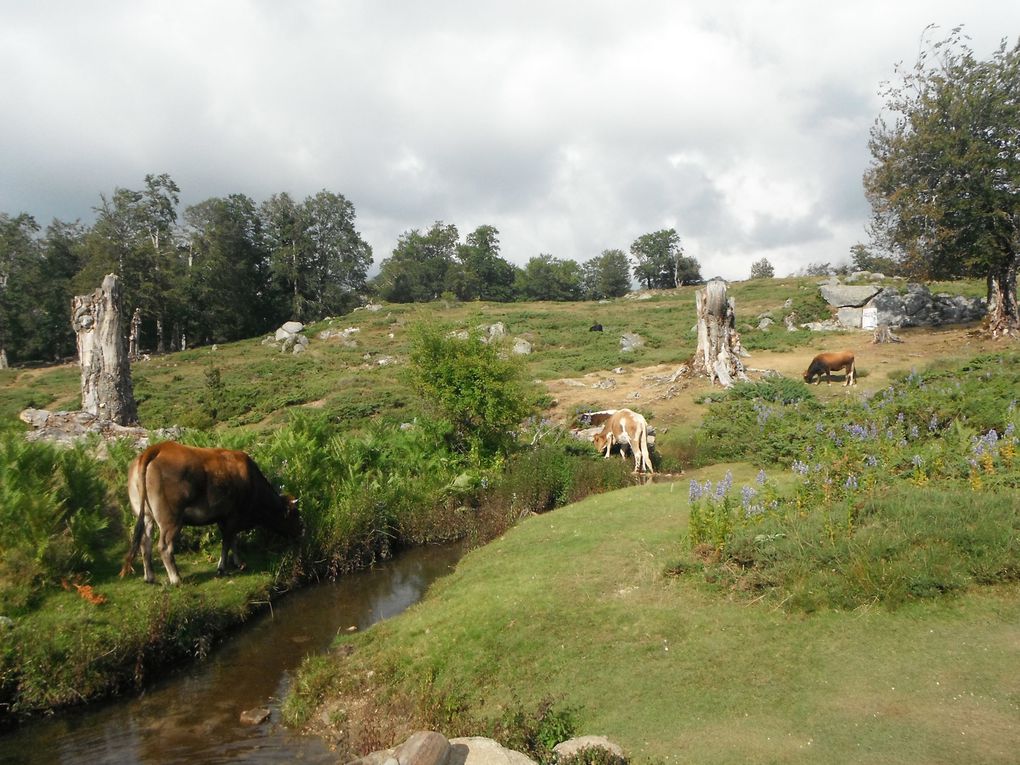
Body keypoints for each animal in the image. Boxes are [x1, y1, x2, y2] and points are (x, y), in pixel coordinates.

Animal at [119, 442, 299, 587]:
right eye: (295, 515)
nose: (301, 530)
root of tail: (158, 447)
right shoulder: (233, 515)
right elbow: (227, 541)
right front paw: (222, 568)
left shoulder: (223, 517)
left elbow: (233, 540)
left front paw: (238, 563)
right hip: (171, 519)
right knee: (164, 547)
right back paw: (176, 579)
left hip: (145, 514)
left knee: (145, 543)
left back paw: (150, 578)